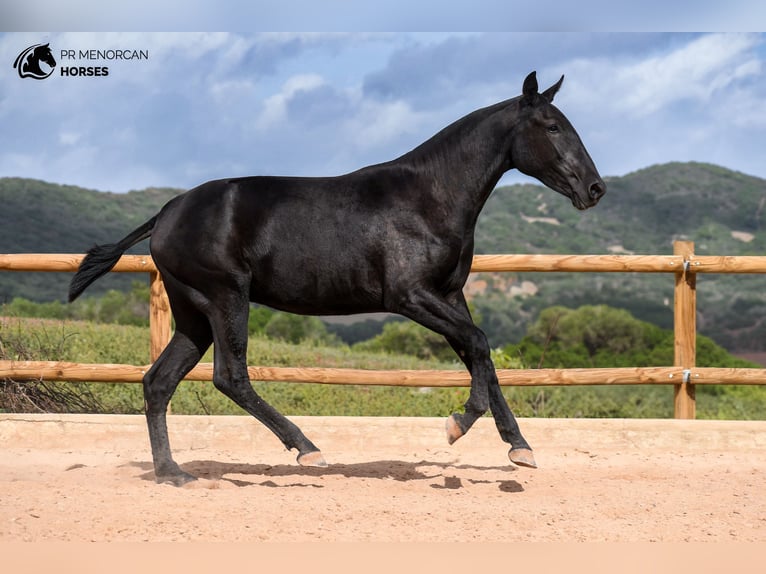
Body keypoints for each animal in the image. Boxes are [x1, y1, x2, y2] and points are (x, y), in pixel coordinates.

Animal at [69, 72, 608, 486]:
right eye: (553, 126)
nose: (595, 189)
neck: (429, 197)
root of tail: (165, 214)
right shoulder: (410, 296)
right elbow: (478, 345)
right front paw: (457, 424)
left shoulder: (451, 296)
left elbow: (482, 355)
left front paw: (520, 447)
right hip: (225, 298)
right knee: (230, 376)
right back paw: (307, 449)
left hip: (193, 315)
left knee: (158, 382)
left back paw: (173, 473)